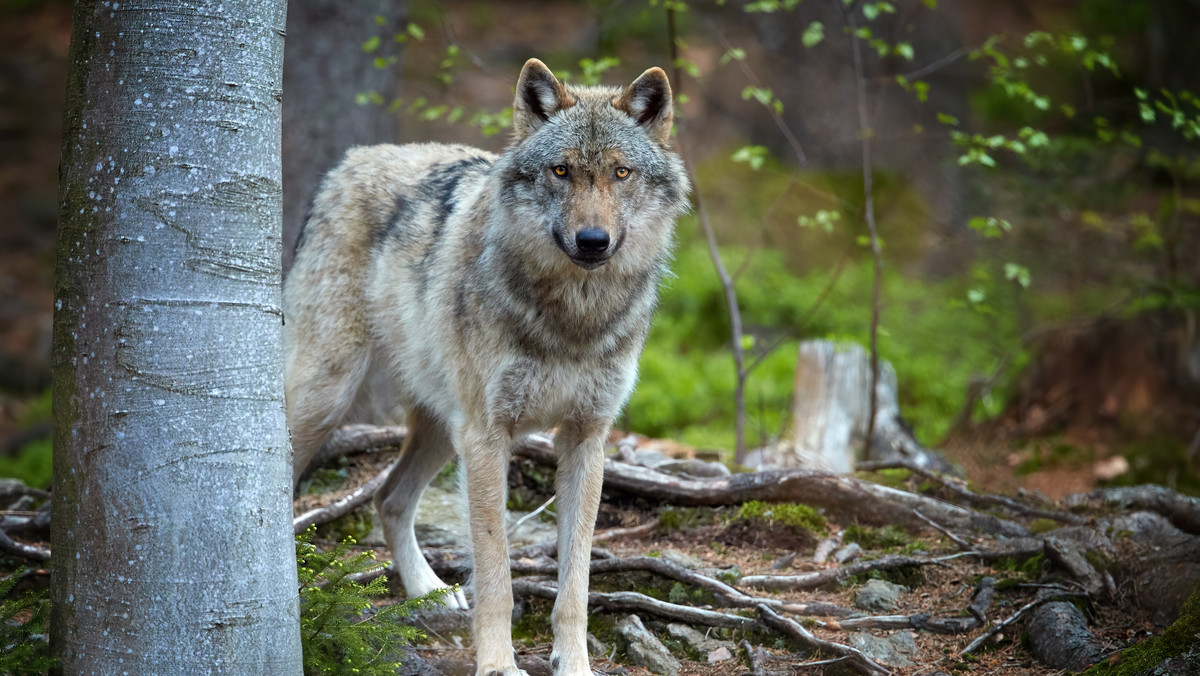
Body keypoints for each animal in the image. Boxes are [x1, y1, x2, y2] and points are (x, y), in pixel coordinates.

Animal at [282, 59, 691, 676]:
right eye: (561, 171)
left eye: (620, 173)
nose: (593, 241)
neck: (572, 317)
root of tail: (350, 160)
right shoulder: (487, 436)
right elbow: (497, 572)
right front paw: (498, 662)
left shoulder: (586, 438)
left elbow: (576, 582)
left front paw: (574, 663)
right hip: (329, 396)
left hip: (440, 427)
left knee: (389, 499)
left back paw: (428, 590)